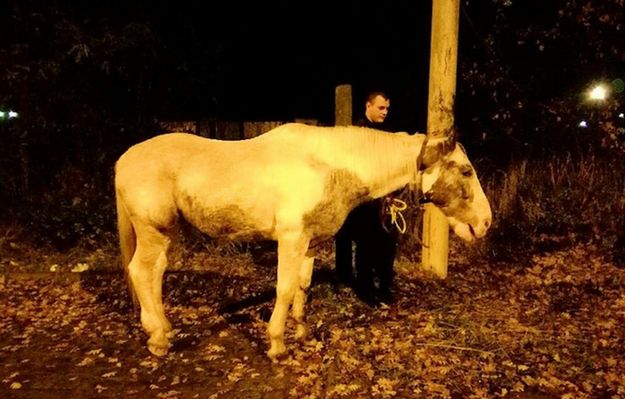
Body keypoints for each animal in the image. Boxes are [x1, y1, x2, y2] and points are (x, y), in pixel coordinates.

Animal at [114, 122, 490, 360]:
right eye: (466, 171)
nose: (485, 223)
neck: (328, 166)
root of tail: (124, 159)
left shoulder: (309, 243)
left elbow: (301, 286)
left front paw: (300, 331)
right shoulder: (290, 239)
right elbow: (283, 288)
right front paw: (277, 345)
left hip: (164, 233)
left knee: (155, 273)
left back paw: (164, 329)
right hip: (152, 230)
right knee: (141, 272)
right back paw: (158, 339)